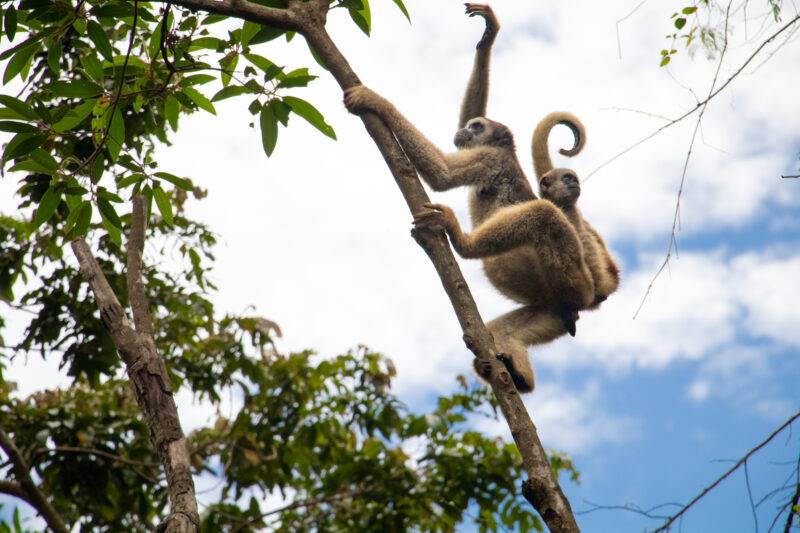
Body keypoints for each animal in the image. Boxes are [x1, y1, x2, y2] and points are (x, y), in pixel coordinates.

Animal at [343, 11, 596, 394]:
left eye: (477, 128)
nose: (464, 131)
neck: (503, 149)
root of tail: (577, 301)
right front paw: (487, 36)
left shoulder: (488, 159)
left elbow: (443, 175)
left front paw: (377, 101)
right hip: (548, 309)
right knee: (500, 332)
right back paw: (515, 373)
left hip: (574, 280)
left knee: (543, 213)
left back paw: (461, 241)